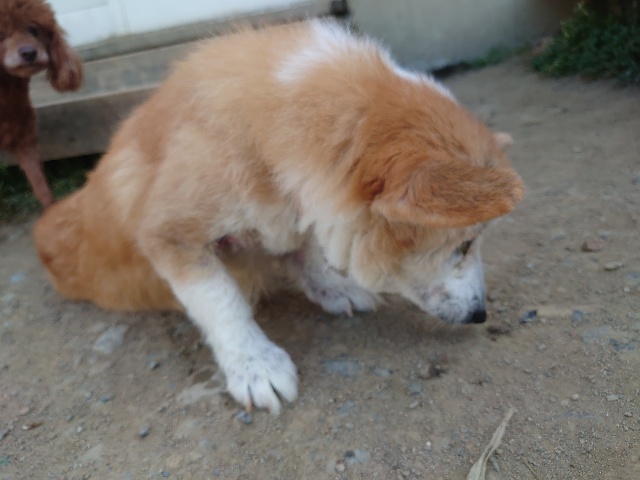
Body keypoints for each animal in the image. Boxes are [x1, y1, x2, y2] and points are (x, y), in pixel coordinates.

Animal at [34, 20, 523, 414]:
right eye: (464, 244)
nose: (481, 315)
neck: (267, 135)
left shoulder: (295, 209)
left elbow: (306, 251)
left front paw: (331, 287)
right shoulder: (169, 236)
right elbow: (222, 301)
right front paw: (255, 365)